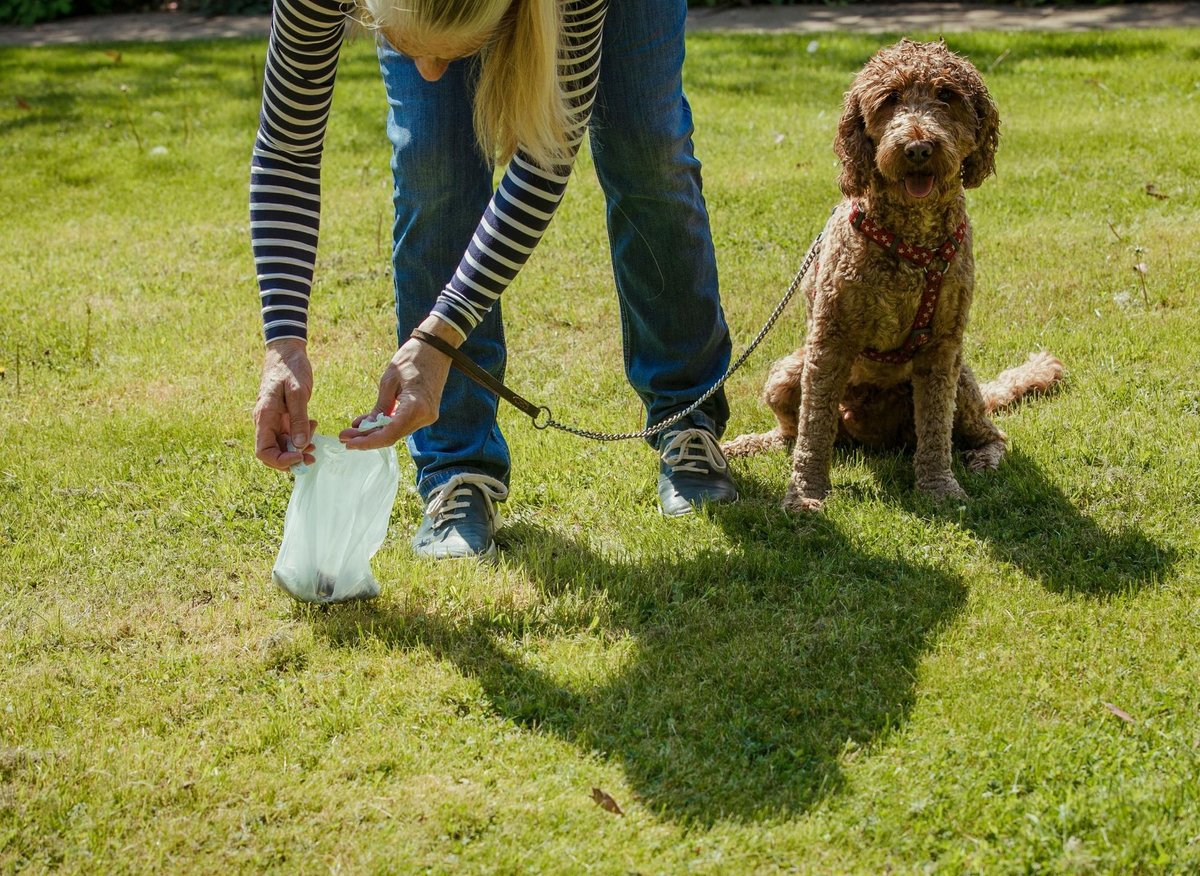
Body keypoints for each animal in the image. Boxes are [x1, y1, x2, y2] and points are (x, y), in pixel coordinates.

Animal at [724, 39, 1065, 504]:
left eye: (946, 95)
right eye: (889, 99)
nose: (918, 148)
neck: (912, 244)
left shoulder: (942, 347)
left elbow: (936, 428)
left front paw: (939, 487)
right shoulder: (829, 340)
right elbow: (813, 426)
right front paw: (806, 494)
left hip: (961, 383)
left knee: (990, 434)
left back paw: (982, 459)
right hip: (786, 374)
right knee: (792, 433)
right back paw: (746, 445)